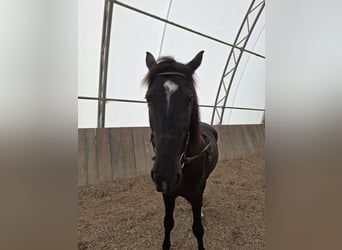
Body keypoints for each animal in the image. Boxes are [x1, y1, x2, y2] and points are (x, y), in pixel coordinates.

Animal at [144, 51, 219, 250]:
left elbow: (198, 229)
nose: (166, 175)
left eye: (189, 99)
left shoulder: (196, 195)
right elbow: (168, 223)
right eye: (148, 98)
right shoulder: (168, 195)